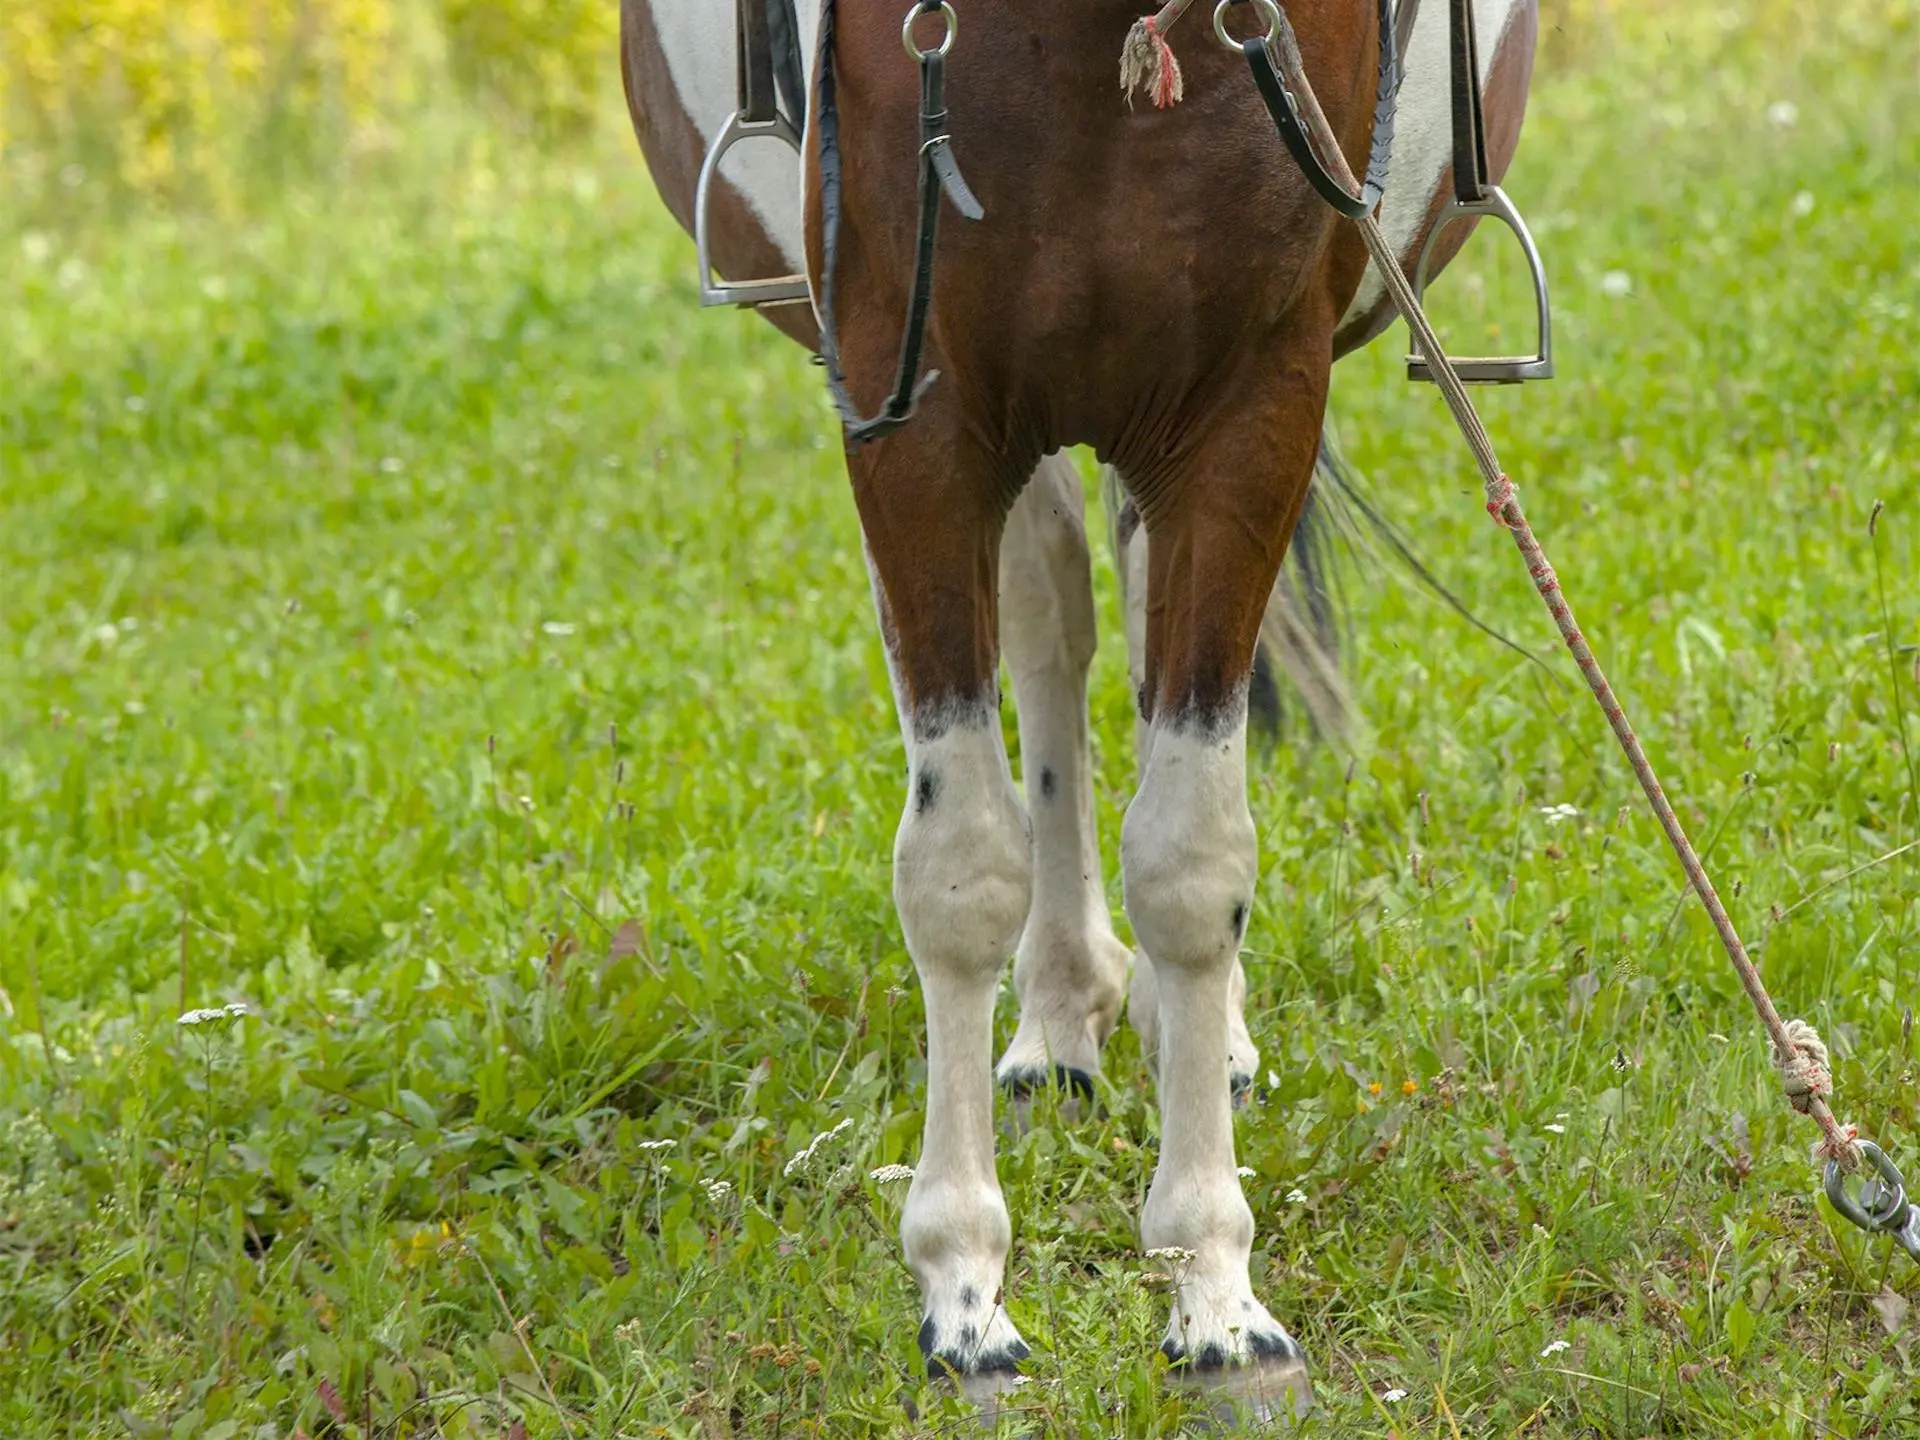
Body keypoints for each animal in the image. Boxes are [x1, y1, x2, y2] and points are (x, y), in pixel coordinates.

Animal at [622, 0, 1536, 1420]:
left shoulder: (1252, 405)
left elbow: (1194, 857)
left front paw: (1215, 1294)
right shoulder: (912, 410)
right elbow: (960, 868)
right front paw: (963, 1293)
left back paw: (1191, 1033)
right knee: (1052, 615)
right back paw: (1057, 1016)